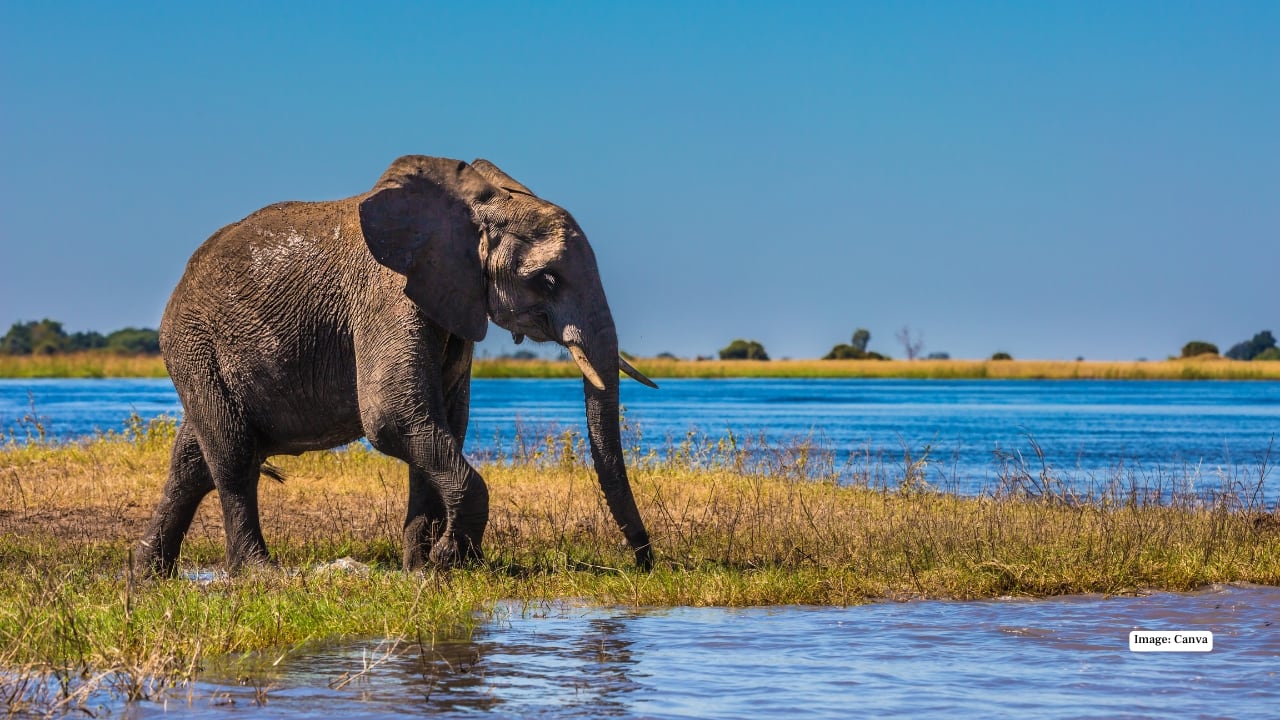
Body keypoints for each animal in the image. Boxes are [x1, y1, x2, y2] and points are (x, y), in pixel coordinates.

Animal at [135, 155, 657, 577]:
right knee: (232, 455)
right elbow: (395, 418)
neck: (473, 207)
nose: (645, 561)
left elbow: (443, 423)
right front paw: (449, 561)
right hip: (194, 344)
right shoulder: (386, 296)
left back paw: (148, 576)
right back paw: (259, 575)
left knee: (193, 459)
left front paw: (421, 570)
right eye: (547, 279)